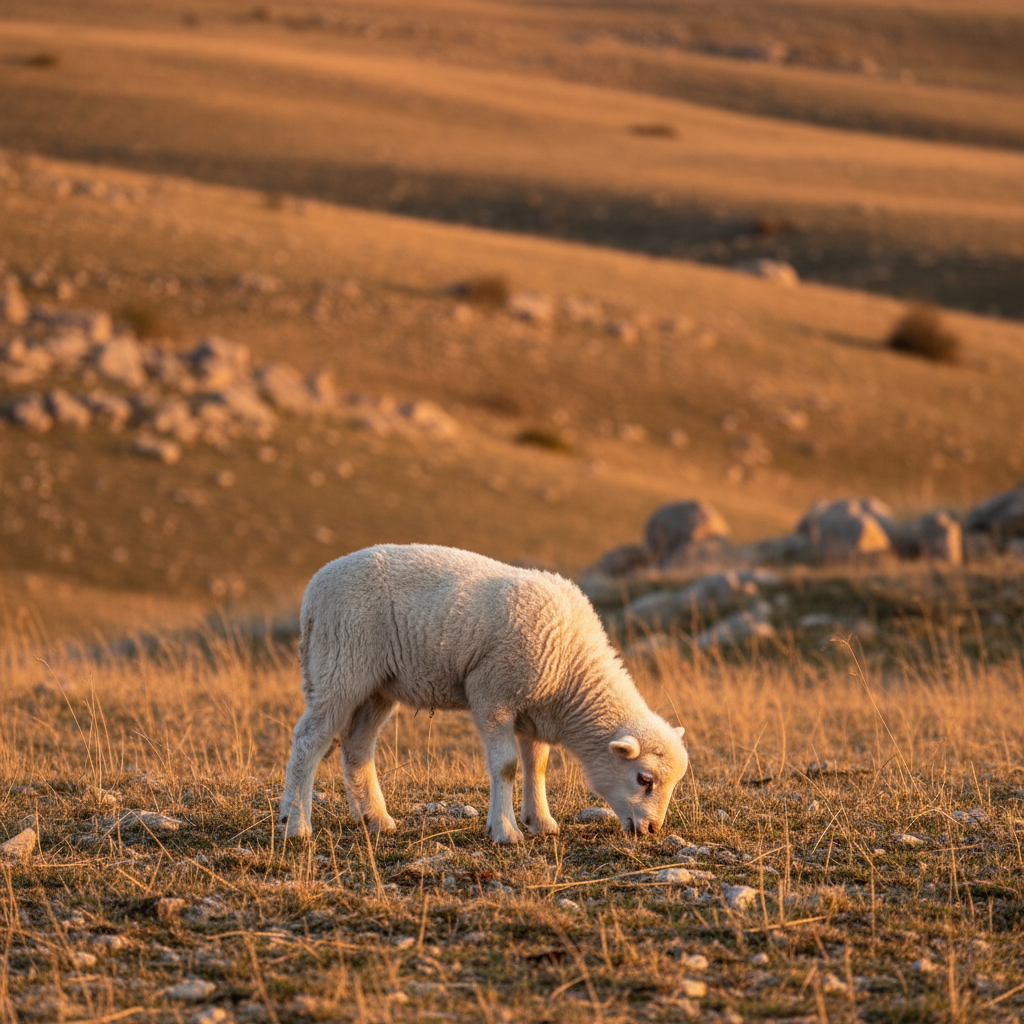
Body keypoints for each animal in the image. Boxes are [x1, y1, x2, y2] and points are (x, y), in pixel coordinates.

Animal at [279, 544, 689, 843]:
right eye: (645, 780)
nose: (652, 830)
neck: (571, 672)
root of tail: (313, 591)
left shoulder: (534, 708)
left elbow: (537, 764)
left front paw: (540, 821)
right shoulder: (493, 693)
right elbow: (506, 765)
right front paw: (505, 831)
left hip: (379, 684)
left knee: (357, 745)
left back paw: (376, 819)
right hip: (340, 665)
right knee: (309, 739)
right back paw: (295, 824)